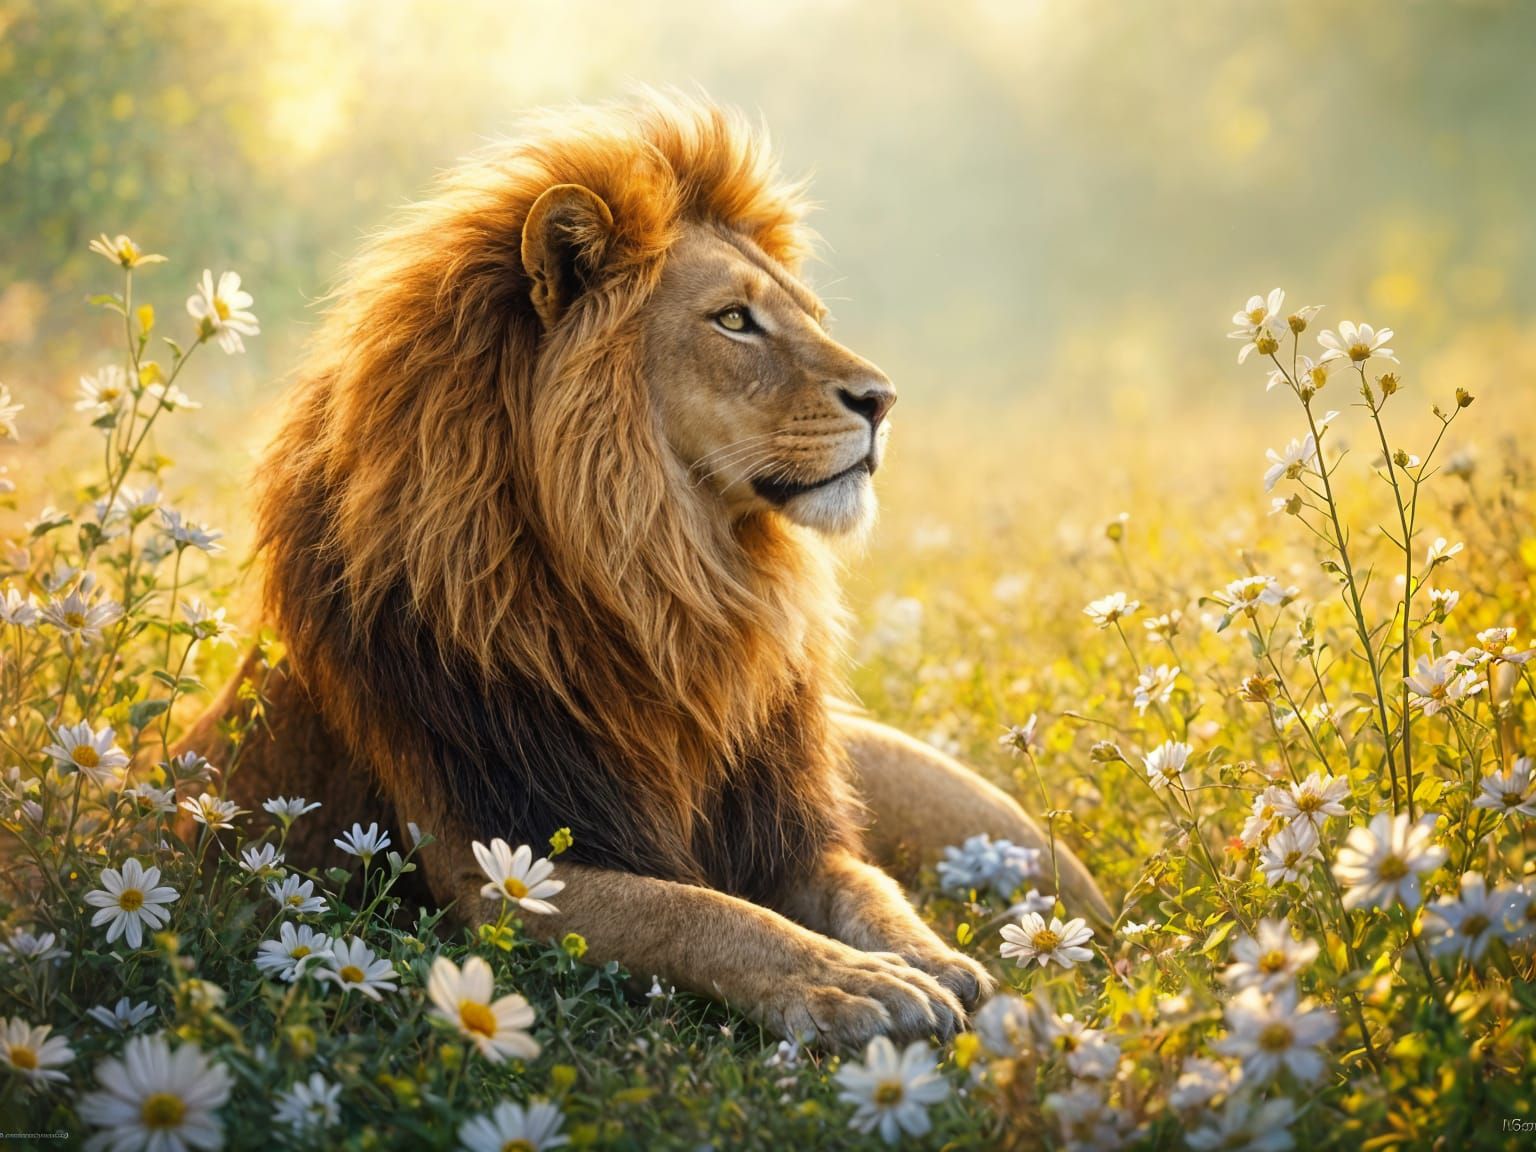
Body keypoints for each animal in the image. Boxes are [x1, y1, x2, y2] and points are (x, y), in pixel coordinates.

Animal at [185, 93, 1110, 1047]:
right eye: (734, 320)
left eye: (810, 314)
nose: (884, 401)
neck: (662, 584)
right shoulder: (500, 867)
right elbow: (704, 914)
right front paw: (854, 983)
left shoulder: (787, 833)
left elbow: (869, 891)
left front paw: (939, 966)